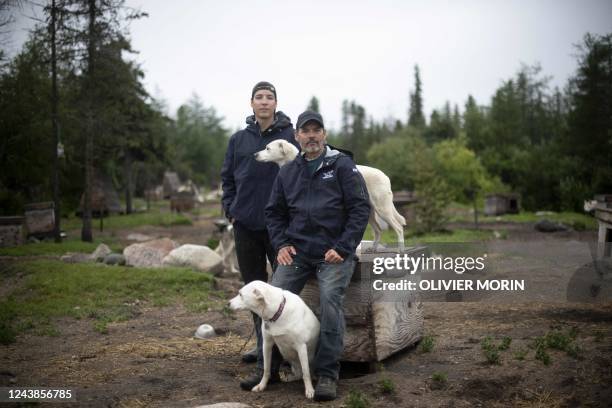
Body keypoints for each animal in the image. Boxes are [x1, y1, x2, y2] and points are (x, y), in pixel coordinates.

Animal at [255, 139, 406, 250]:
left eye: (268, 148)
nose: (255, 155)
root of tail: (385, 176)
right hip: (369, 212)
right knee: (378, 230)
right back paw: (373, 248)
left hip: (382, 208)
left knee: (398, 227)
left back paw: (400, 250)